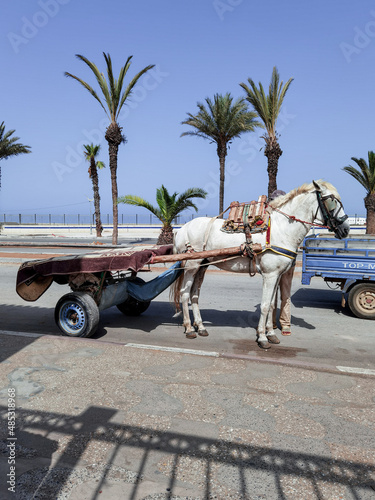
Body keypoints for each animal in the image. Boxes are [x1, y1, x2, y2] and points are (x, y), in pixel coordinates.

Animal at [172, 180, 352, 348]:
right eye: (331, 200)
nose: (345, 230)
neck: (281, 229)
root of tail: (183, 229)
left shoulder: (277, 276)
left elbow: (272, 305)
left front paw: (271, 334)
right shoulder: (269, 275)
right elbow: (265, 306)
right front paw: (263, 337)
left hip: (202, 265)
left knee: (194, 295)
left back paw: (201, 327)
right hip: (191, 266)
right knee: (184, 294)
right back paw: (189, 328)